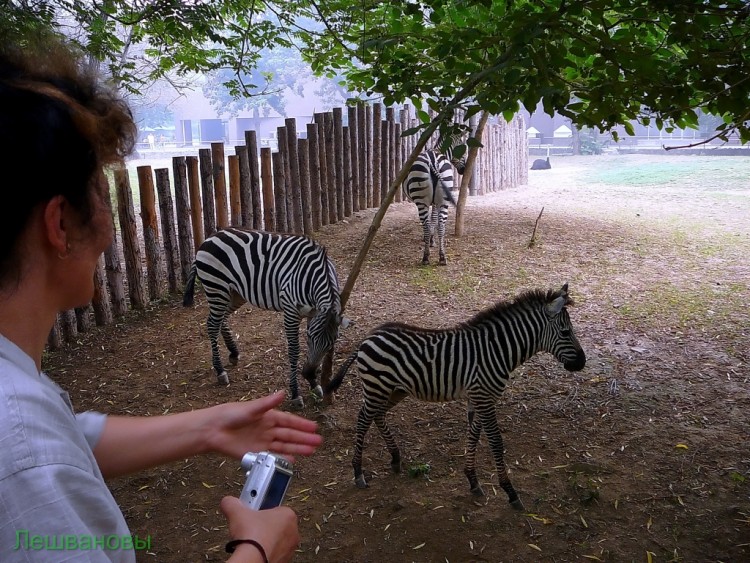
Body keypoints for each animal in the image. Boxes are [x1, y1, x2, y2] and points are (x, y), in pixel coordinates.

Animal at [182, 227, 350, 408]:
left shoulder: (313, 314)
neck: (314, 276)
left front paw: (314, 384)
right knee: (212, 325)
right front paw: (296, 393)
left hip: (235, 293)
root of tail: (209, 238)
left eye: (331, 343)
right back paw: (220, 371)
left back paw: (233, 352)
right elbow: (294, 350)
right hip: (217, 289)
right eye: (310, 337)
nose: (308, 374)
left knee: (221, 320)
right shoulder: (291, 311)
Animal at [324, 284, 588, 508]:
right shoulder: (484, 398)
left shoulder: (480, 398)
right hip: (376, 387)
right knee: (363, 419)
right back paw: (358, 472)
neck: (498, 350)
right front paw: (510, 492)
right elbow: (495, 441)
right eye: (566, 332)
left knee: (377, 416)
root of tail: (369, 336)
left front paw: (472, 480)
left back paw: (395, 458)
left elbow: (474, 435)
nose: (582, 363)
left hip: (394, 390)